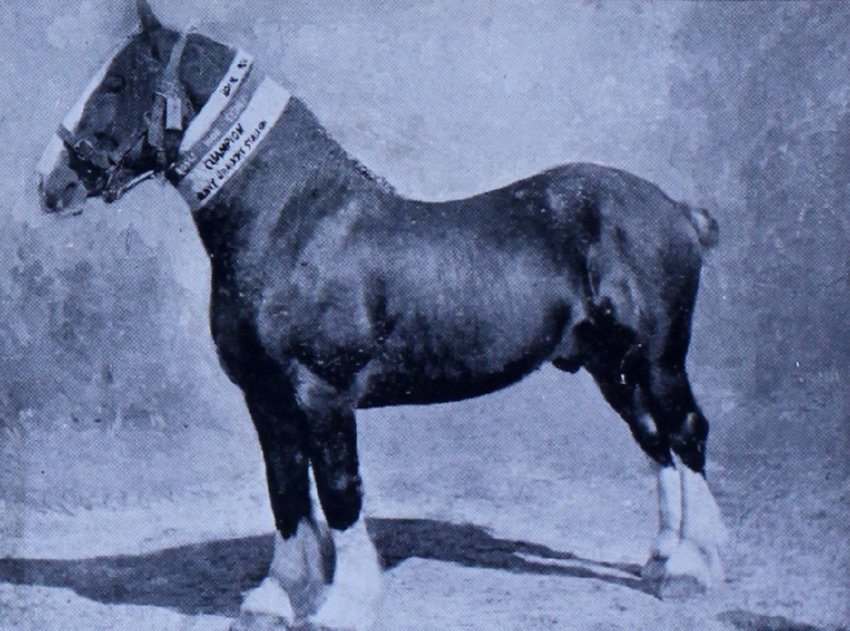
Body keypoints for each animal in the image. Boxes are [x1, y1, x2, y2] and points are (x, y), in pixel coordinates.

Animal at [37, 2, 727, 629]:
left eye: (117, 84)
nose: (51, 182)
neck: (295, 222)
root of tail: (675, 209)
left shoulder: (322, 394)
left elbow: (339, 493)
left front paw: (343, 603)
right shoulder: (266, 398)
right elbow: (285, 490)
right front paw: (277, 597)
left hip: (659, 359)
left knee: (684, 433)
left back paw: (693, 570)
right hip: (610, 367)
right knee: (654, 441)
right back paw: (660, 562)